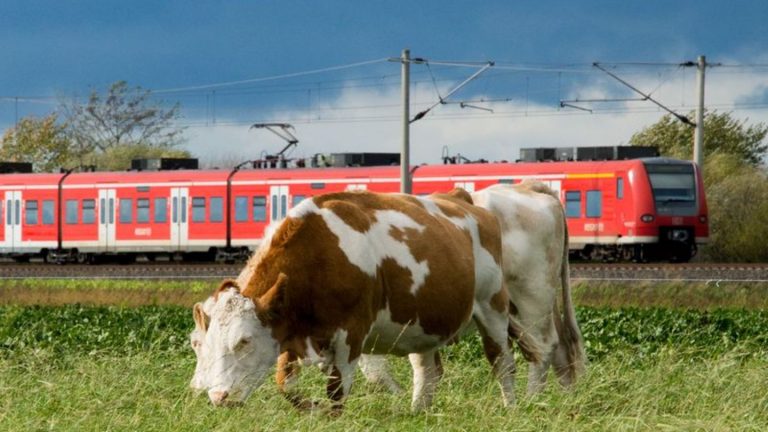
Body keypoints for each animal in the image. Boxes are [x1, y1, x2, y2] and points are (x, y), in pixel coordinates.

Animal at [195, 190, 520, 412]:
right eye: (205, 343)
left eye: (244, 341)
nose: (218, 396)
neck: (320, 255)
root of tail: (458, 197)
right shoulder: (290, 332)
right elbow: (285, 385)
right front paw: (312, 409)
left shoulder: (351, 334)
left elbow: (337, 392)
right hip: (423, 324)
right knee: (427, 371)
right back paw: (418, 412)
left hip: (493, 306)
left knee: (502, 362)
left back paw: (510, 407)